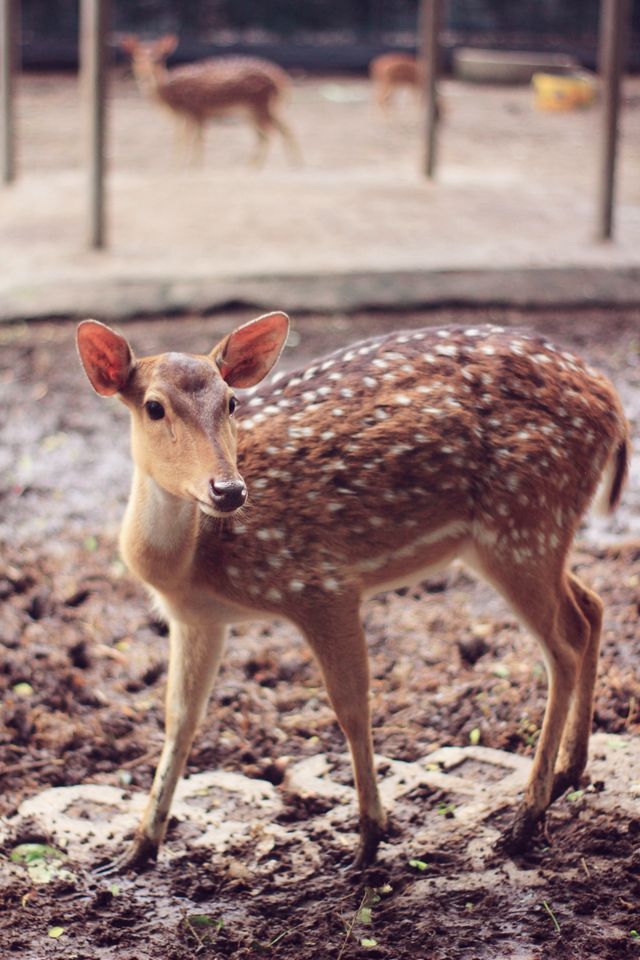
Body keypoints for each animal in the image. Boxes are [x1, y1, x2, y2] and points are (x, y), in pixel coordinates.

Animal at [76, 314, 632, 872]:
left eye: (231, 401)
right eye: (154, 406)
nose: (228, 490)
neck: (191, 563)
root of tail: (612, 401)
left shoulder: (321, 584)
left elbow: (350, 704)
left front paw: (368, 840)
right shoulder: (197, 619)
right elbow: (180, 720)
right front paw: (135, 850)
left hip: (524, 521)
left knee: (565, 643)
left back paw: (525, 818)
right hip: (520, 537)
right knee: (592, 607)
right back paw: (567, 773)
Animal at [120, 34, 300, 167]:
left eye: (158, 58)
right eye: (135, 58)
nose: (144, 74)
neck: (170, 97)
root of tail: (281, 79)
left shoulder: (194, 110)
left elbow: (193, 140)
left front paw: (190, 167)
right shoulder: (189, 116)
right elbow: (182, 139)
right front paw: (179, 166)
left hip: (259, 105)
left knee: (273, 132)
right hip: (256, 110)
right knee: (276, 130)